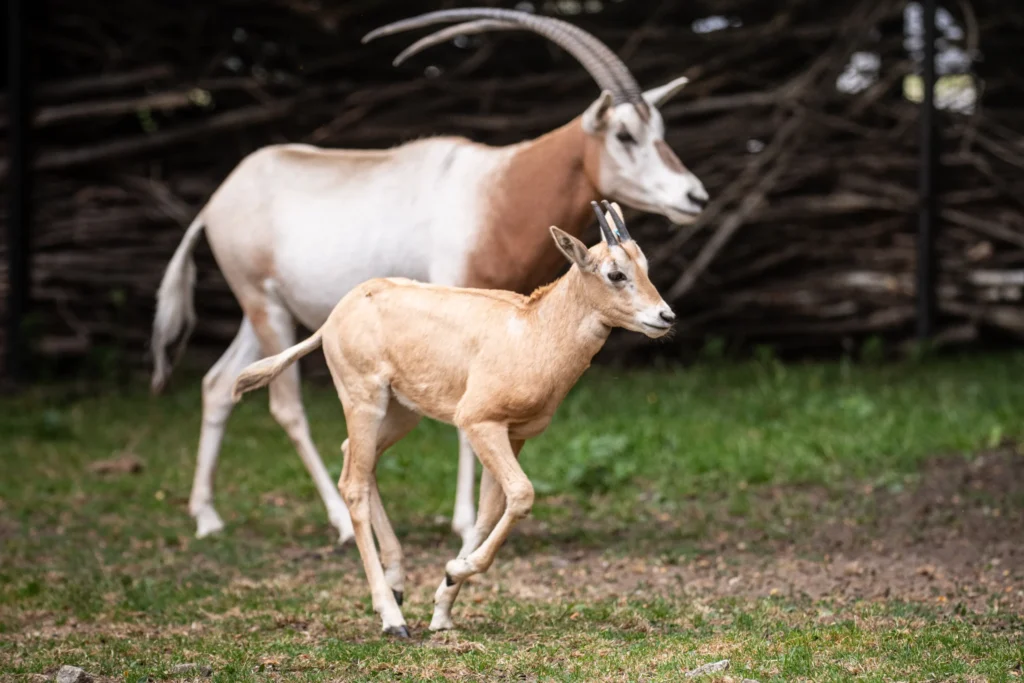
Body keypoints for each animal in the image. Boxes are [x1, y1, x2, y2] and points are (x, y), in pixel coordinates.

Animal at [231, 201, 671, 634]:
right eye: (615, 273)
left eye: (645, 265)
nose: (665, 317)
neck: (533, 332)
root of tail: (334, 317)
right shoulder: (479, 423)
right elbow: (522, 494)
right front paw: (454, 571)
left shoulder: (514, 434)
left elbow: (489, 511)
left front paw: (443, 605)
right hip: (363, 398)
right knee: (352, 484)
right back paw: (391, 617)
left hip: (401, 412)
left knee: (354, 457)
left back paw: (398, 585)